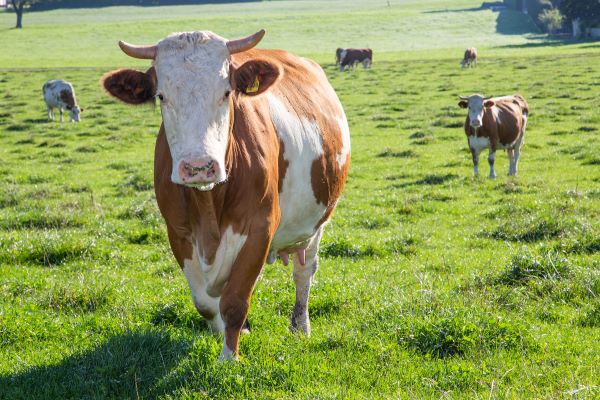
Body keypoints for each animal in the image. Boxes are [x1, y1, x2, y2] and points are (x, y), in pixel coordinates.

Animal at [101, 29, 350, 360]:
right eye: (161, 96)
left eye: (227, 93)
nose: (199, 167)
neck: (208, 205)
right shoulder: (178, 233)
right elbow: (207, 303)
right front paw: (226, 336)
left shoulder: (259, 228)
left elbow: (234, 301)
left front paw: (229, 358)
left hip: (316, 224)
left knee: (304, 272)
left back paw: (300, 326)